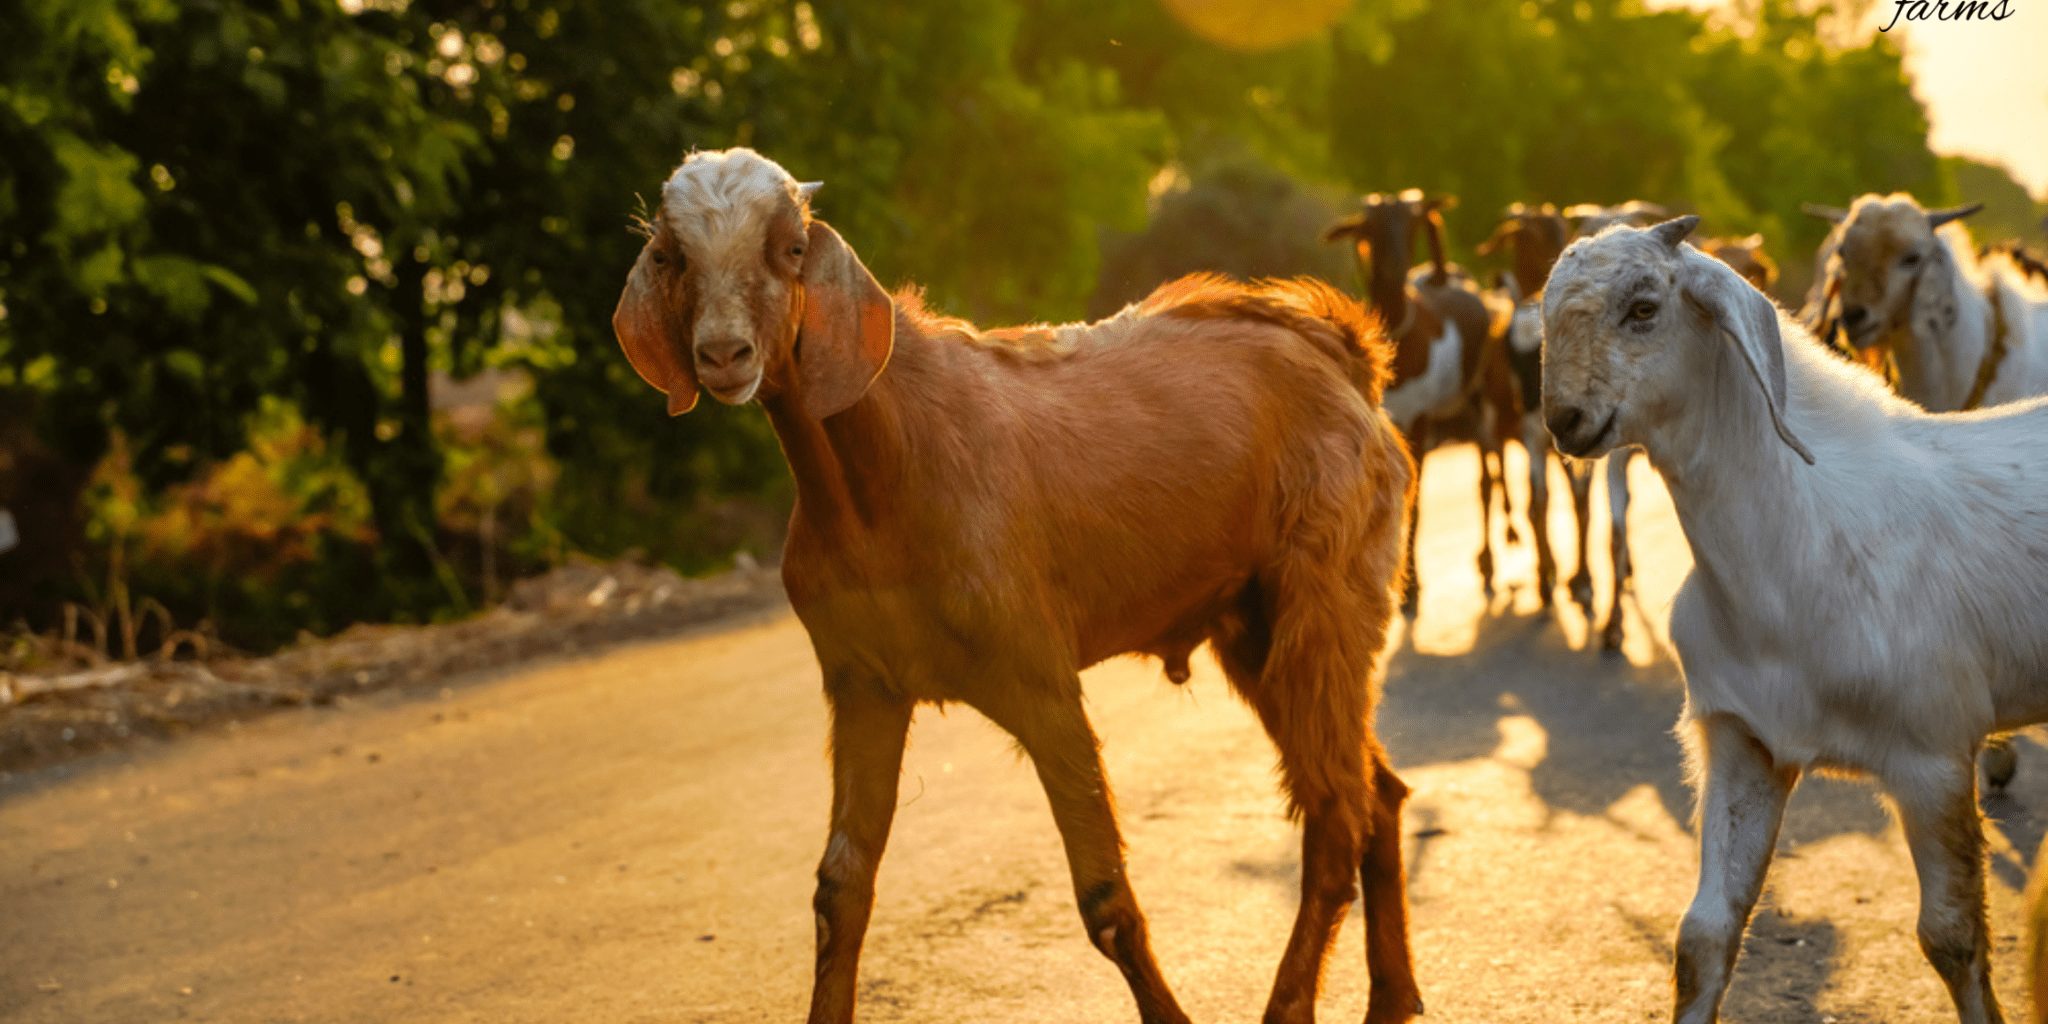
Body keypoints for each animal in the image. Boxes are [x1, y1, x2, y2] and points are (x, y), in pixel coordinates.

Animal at [614, 149, 1422, 1024]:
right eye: (673, 257)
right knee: (1377, 793)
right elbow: (840, 888)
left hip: (1326, 595)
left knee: (1336, 813)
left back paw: (1296, 1004)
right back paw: (1394, 993)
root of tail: (1343, 349)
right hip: (1251, 624)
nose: (724, 355)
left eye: (791, 247)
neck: (882, 471)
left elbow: (1107, 900)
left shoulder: (1040, 679)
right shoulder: (864, 683)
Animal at [1325, 189, 1510, 615]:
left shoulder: (1421, 418)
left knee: (1486, 477)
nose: (1394, 270)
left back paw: (1489, 562)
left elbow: (1418, 500)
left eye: (1410, 224)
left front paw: (1412, 592)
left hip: (1482, 395)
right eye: (1369, 227)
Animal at [1541, 214, 2048, 1024]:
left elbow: (1953, 937)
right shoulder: (1744, 740)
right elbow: (1703, 936)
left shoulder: (1933, 757)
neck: (1800, 540)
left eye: (1644, 307)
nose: (1564, 421)